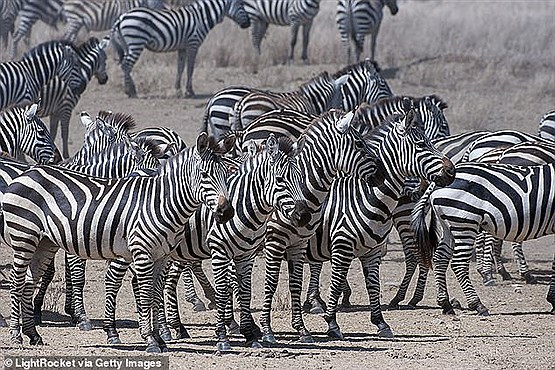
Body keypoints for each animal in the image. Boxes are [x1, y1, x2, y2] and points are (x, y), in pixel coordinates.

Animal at [3, 132, 236, 352]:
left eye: (227, 175)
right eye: (205, 175)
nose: (226, 212)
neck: (160, 202)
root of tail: (27, 173)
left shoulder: (162, 256)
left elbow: (154, 294)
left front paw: (160, 338)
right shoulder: (142, 252)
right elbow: (145, 294)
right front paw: (151, 340)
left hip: (45, 243)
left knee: (28, 283)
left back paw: (33, 335)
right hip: (24, 236)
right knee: (17, 282)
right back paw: (16, 335)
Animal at [112, 0, 251, 97]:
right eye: (241, 4)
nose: (248, 24)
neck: (202, 18)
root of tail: (122, 17)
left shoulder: (182, 48)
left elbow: (180, 68)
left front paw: (178, 90)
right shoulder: (193, 45)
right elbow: (190, 69)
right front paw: (190, 91)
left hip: (128, 45)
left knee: (125, 65)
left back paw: (132, 89)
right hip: (136, 42)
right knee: (126, 65)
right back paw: (130, 92)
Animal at [412, 161, 555, 316]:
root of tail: (437, 180)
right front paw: (553, 300)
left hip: (448, 225)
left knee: (440, 258)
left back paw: (446, 304)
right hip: (464, 222)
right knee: (458, 264)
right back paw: (478, 305)